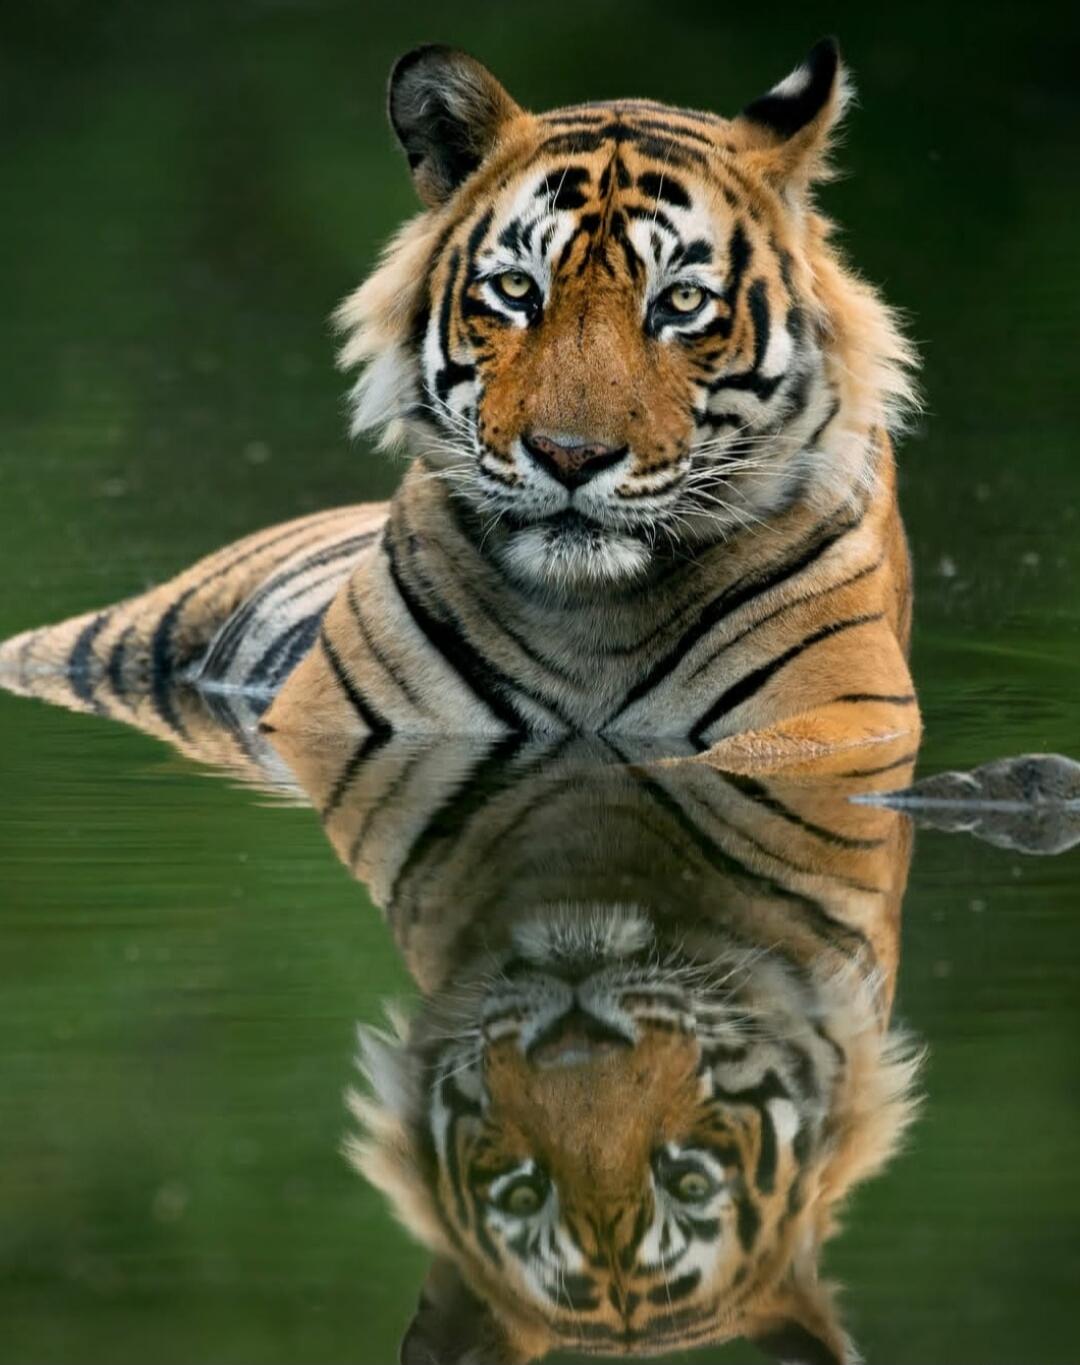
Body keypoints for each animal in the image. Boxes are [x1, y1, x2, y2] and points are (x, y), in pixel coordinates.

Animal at [0, 37, 920, 768]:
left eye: (682, 302)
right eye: (517, 290)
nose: (571, 457)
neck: (592, 619)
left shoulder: (844, 711)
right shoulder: (327, 719)